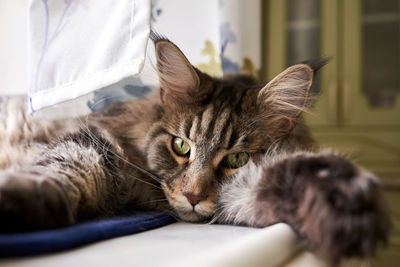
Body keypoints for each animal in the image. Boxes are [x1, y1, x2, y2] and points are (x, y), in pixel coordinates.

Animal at [0, 32, 390, 262]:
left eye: (237, 158)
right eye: (180, 145)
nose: (191, 196)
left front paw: (346, 209)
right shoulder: (94, 141)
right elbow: (67, 166)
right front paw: (25, 197)